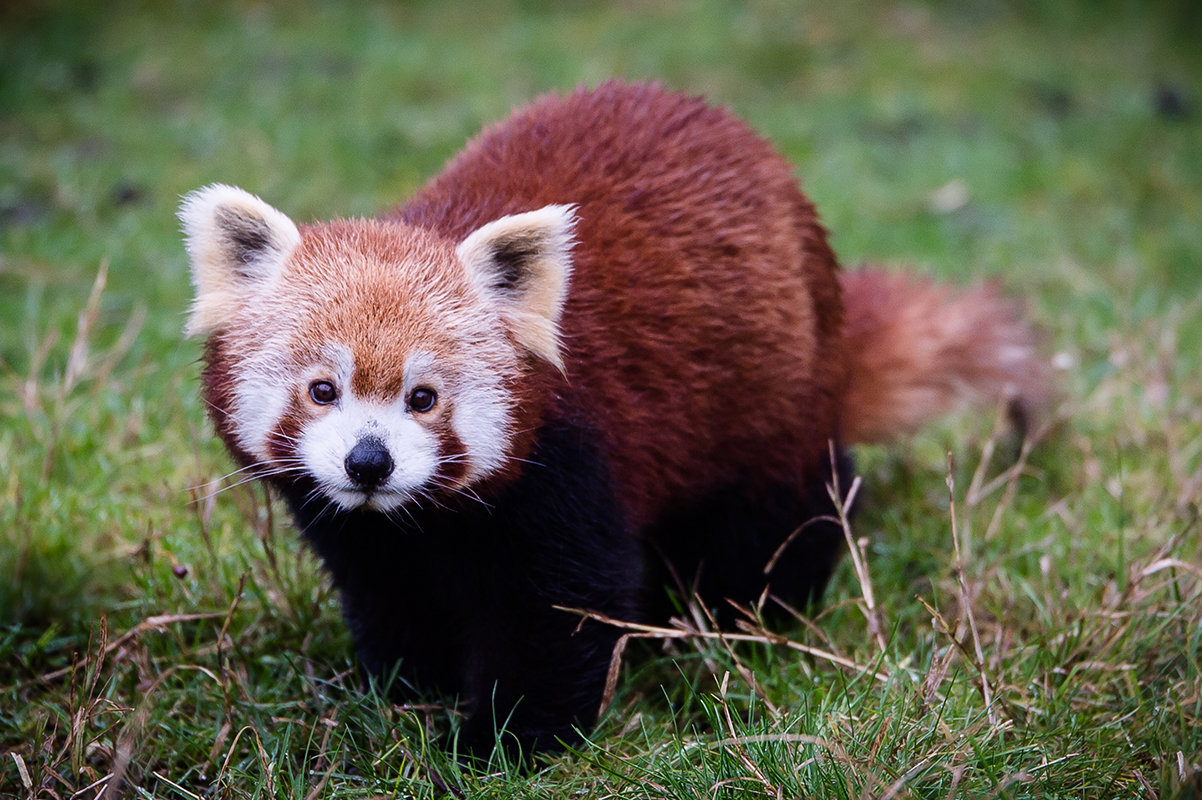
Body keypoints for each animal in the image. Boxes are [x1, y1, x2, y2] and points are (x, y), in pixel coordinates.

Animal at [177, 82, 1043, 759]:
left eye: (422, 398)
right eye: (323, 389)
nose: (369, 462)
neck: (422, 519)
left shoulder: (570, 463)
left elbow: (562, 609)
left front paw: (505, 743)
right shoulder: (360, 532)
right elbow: (389, 594)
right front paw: (405, 691)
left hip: (764, 406)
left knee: (780, 516)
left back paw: (750, 616)